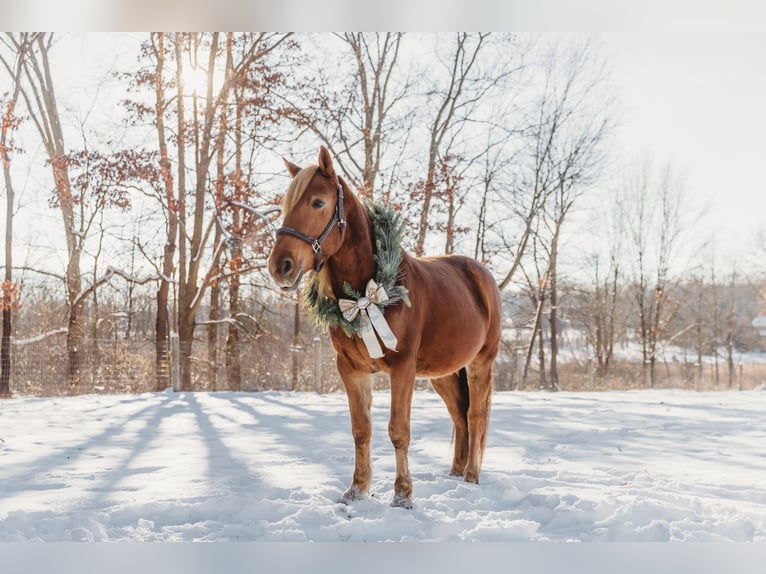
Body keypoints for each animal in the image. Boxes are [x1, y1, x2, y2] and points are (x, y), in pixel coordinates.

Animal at [267, 146, 502, 509]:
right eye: (285, 205)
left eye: (318, 202)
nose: (280, 266)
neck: (366, 295)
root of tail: (482, 276)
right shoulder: (350, 370)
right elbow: (361, 429)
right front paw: (357, 489)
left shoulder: (402, 368)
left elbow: (398, 430)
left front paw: (402, 494)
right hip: (444, 374)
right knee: (459, 415)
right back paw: (456, 471)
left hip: (481, 363)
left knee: (475, 416)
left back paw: (471, 476)